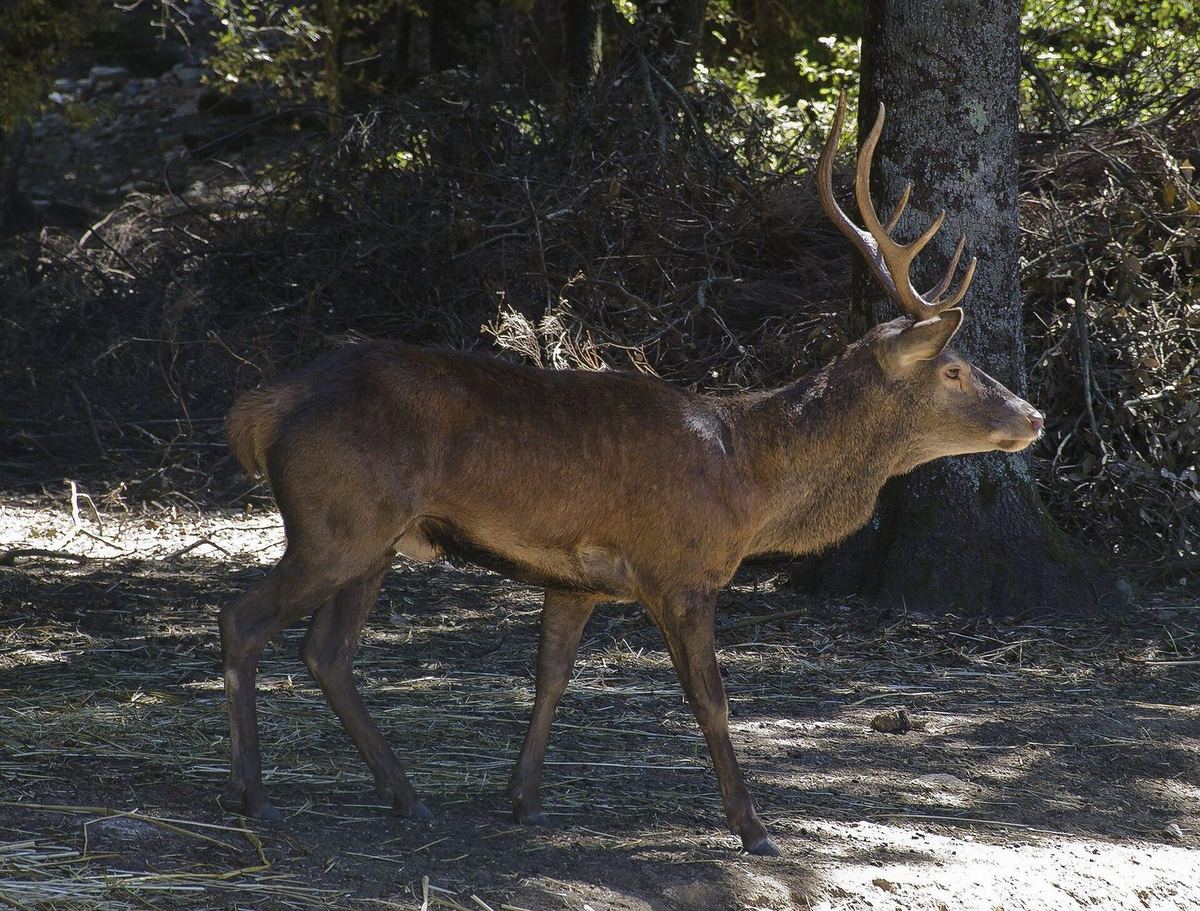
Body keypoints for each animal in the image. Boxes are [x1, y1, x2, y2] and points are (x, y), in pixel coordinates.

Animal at [218, 94, 1043, 857]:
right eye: (957, 370)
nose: (1033, 416)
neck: (748, 480)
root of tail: (267, 407)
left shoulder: (575, 578)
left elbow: (551, 675)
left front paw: (524, 798)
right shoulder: (679, 568)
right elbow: (710, 698)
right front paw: (754, 828)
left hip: (377, 538)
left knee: (327, 651)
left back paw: (407, 794)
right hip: (336, 520)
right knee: (244, 619)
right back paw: (256, 797)